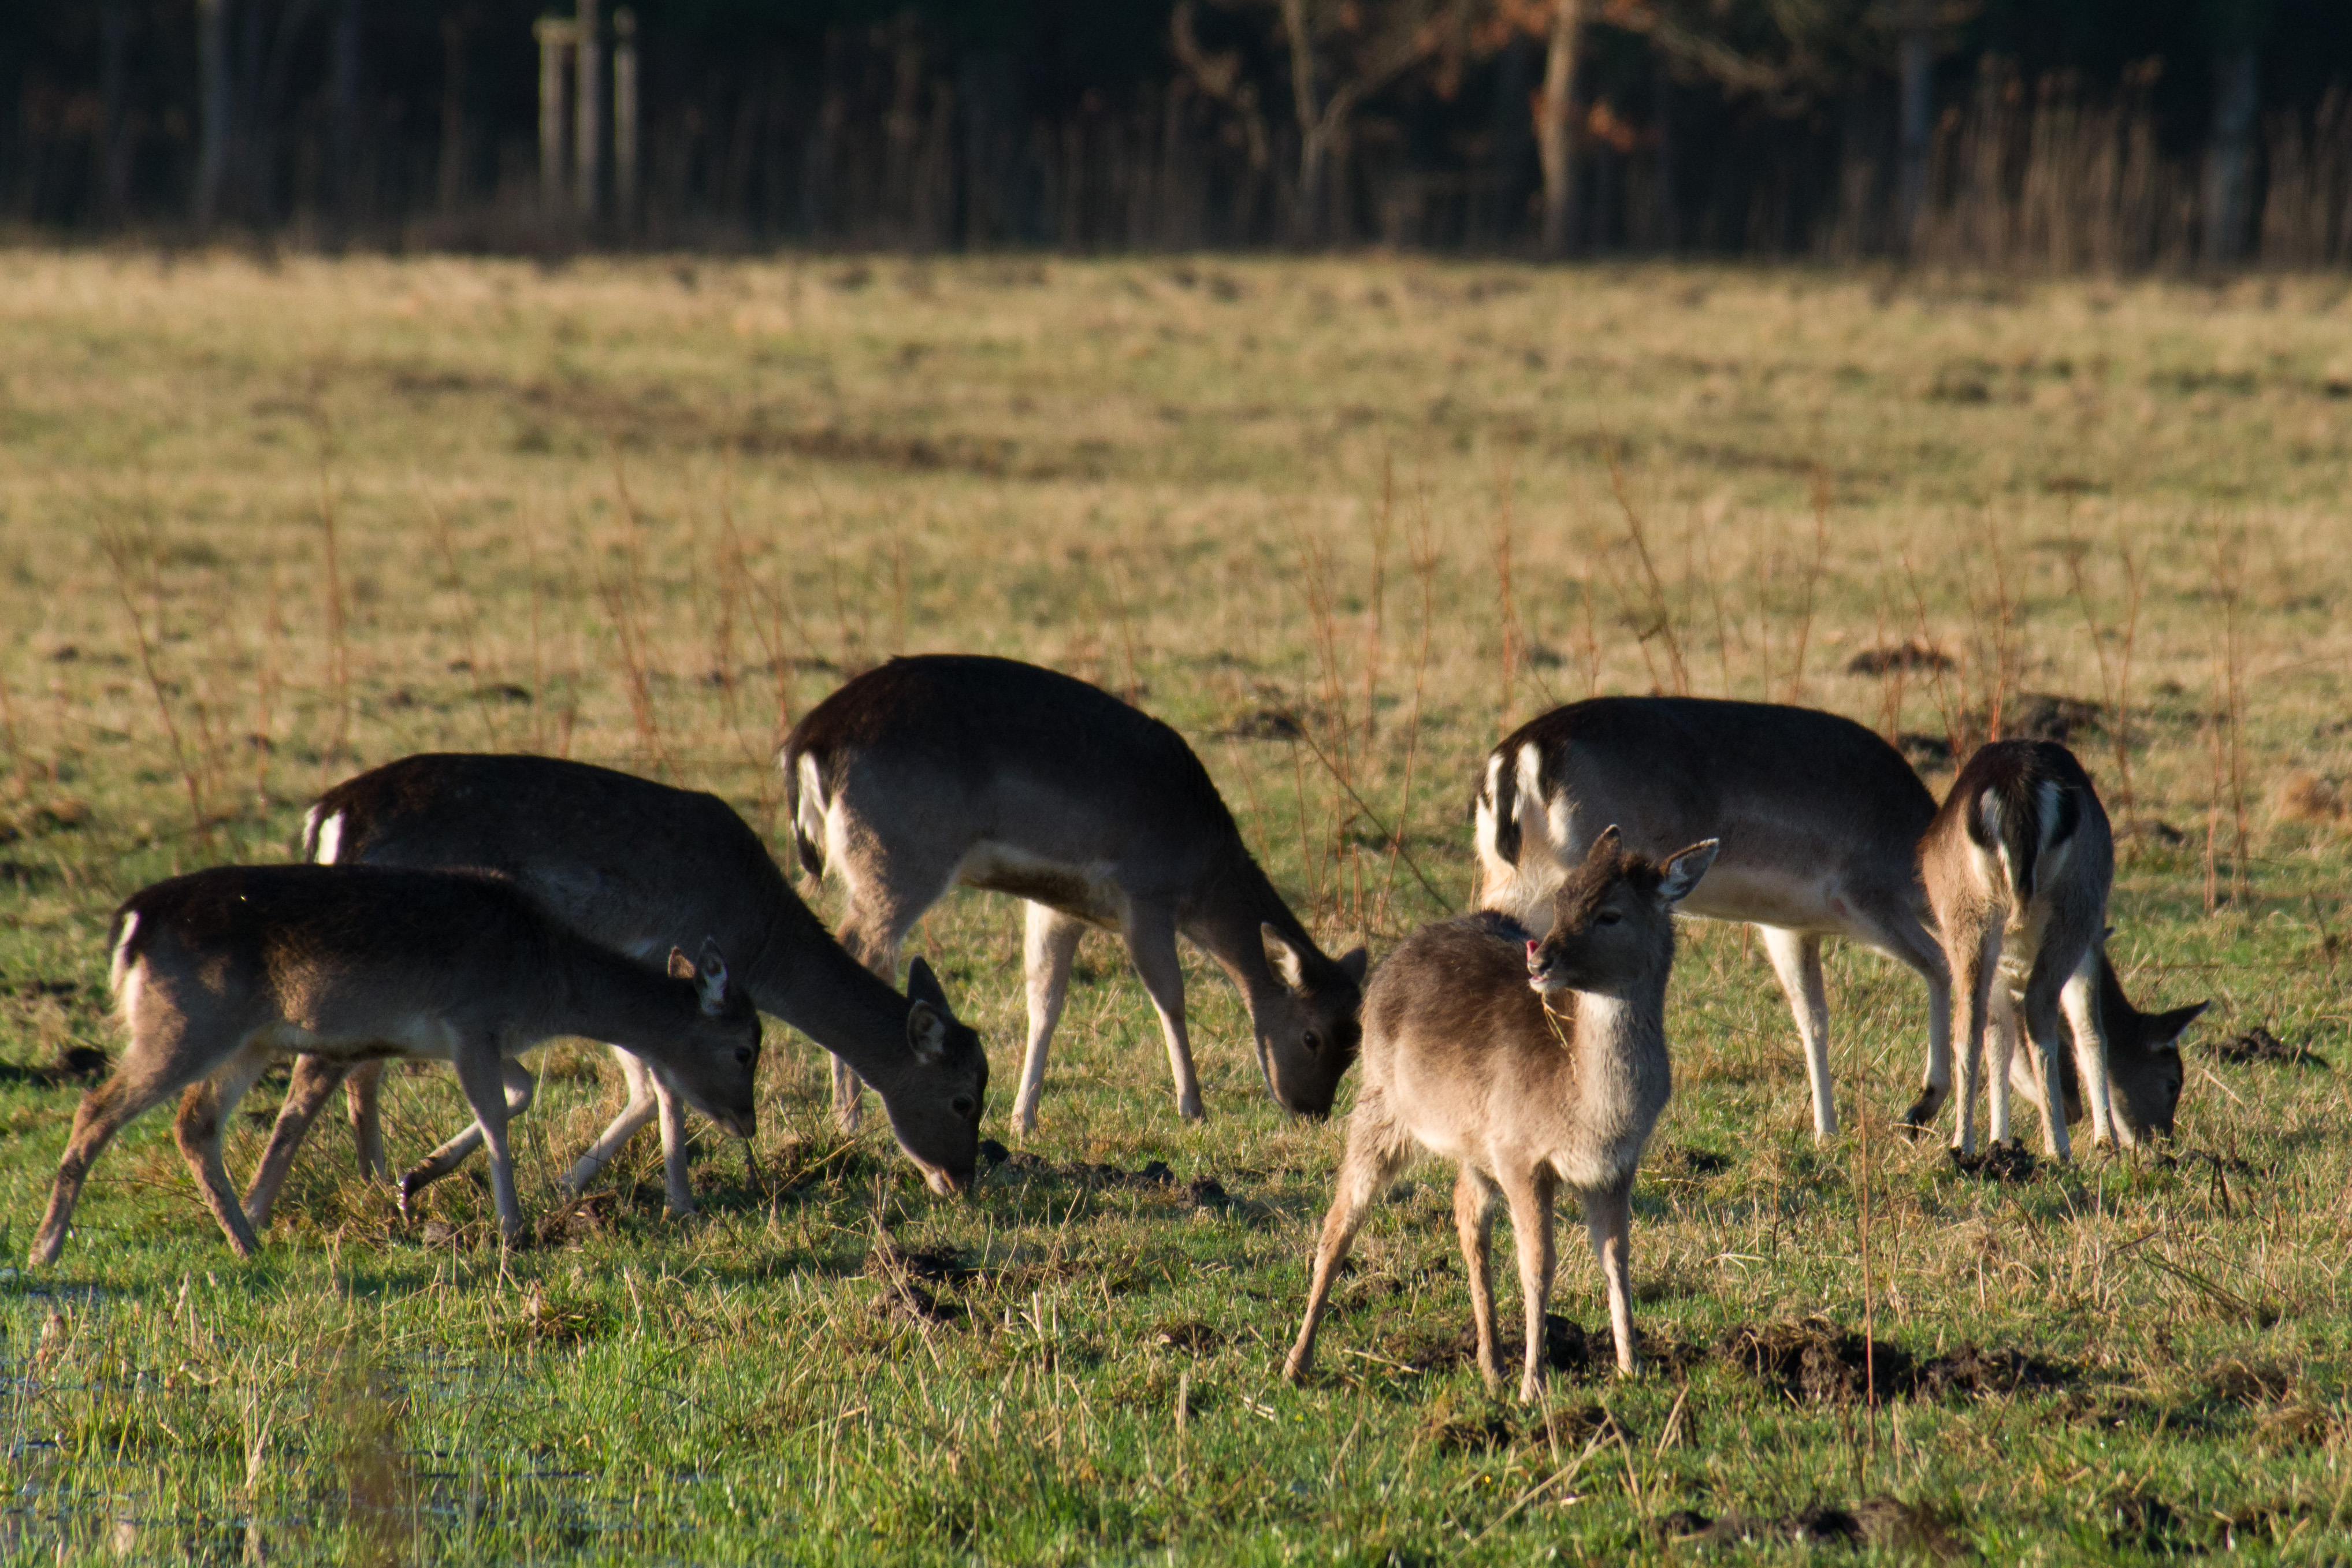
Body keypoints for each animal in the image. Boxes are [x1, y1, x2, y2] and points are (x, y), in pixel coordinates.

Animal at [29, 865, 762, 1269]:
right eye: (747, 1047)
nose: (747, 1121)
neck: (547, 979)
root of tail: (133, 921)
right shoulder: (469, 1019)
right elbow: (497, 1115)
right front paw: (512, 1228)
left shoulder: (479, 1035)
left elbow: (520, 1090)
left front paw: (417, 1178)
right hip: (186, 1025)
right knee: (97, 1105)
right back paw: (46, 1246)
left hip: (249, 1040)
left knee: (195, 1122)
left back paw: (246, 1243)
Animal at [250, 752, 992, 1222]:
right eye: (963, 1099)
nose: (962, 1179)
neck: (760, 933)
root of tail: (329, 815)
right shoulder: (668, 960)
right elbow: (664, 1082)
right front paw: (680, 1201)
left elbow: (641, 1084)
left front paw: (567, 1182)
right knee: (356, 1067)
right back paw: (379, 1176)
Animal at [781, 658, 1373, 1133]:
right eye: (1313, 1037)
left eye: (1355, 1040)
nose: (1311, 1112)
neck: (1201, 868)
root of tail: (808, 742)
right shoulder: (1143, 893)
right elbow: (1170, 997)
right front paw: (1193, 1110)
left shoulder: (1057, 905)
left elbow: (1044, 1002)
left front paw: (1023, 1120)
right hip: (900, 859)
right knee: (861, 947)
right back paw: (850, 1117)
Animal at [1288, 832, 1712, 1401]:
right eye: (1561, 900)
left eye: (1610, 914)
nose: (1541, 962)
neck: (1592, 1108)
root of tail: (1401, 949)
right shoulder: (1520, 1153)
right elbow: (1538, 1266)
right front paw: (1535, 1386)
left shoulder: (1615, 1166)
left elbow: (1616, 1258)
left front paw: (1633, 1369)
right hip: (1379, 1101)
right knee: (1340, 1220)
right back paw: (1296, 1363)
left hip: (1473, 1140)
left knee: (1466, 1214)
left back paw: (1491, 1365)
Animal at [1919, 742, 2192, 1161]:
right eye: (2172, 1081)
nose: (2161, 1139)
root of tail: (2016, 787)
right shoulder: (2092, 941)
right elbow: (2090, 1030)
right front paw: (2104, 1141)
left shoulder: (2001, 969)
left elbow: (1998, 1042)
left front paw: (1999, 1140)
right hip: (2075, 905)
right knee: (2040, 1007)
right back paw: (2059, 1146)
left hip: (1968, 915)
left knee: (1968, 1021)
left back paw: (1961, 1146)